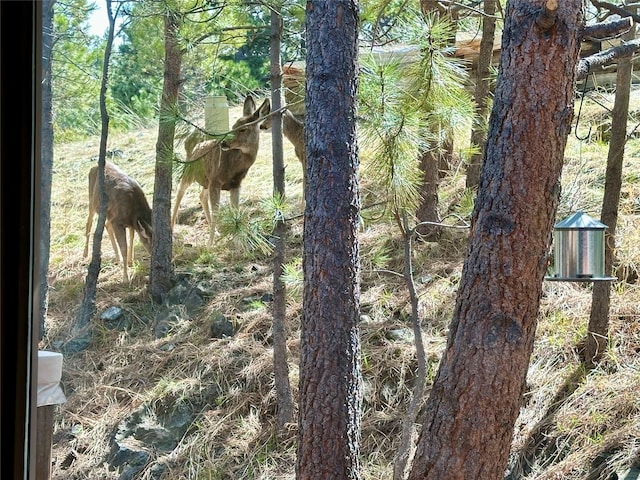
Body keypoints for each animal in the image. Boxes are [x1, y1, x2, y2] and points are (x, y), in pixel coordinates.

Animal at [170, 95, 270, 246]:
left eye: (243, 129)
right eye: (233, 126)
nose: (224, 143)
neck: (234, 169)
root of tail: (195, 144)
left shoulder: (235, 185)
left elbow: (235, 211)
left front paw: (237, 241)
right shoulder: (216, 180)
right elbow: (216, 211)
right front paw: (210, 244)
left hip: (206, 180)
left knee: (201, 196)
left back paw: (217, 232)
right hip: (189, 171)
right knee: (179, 192)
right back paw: (171, 228)